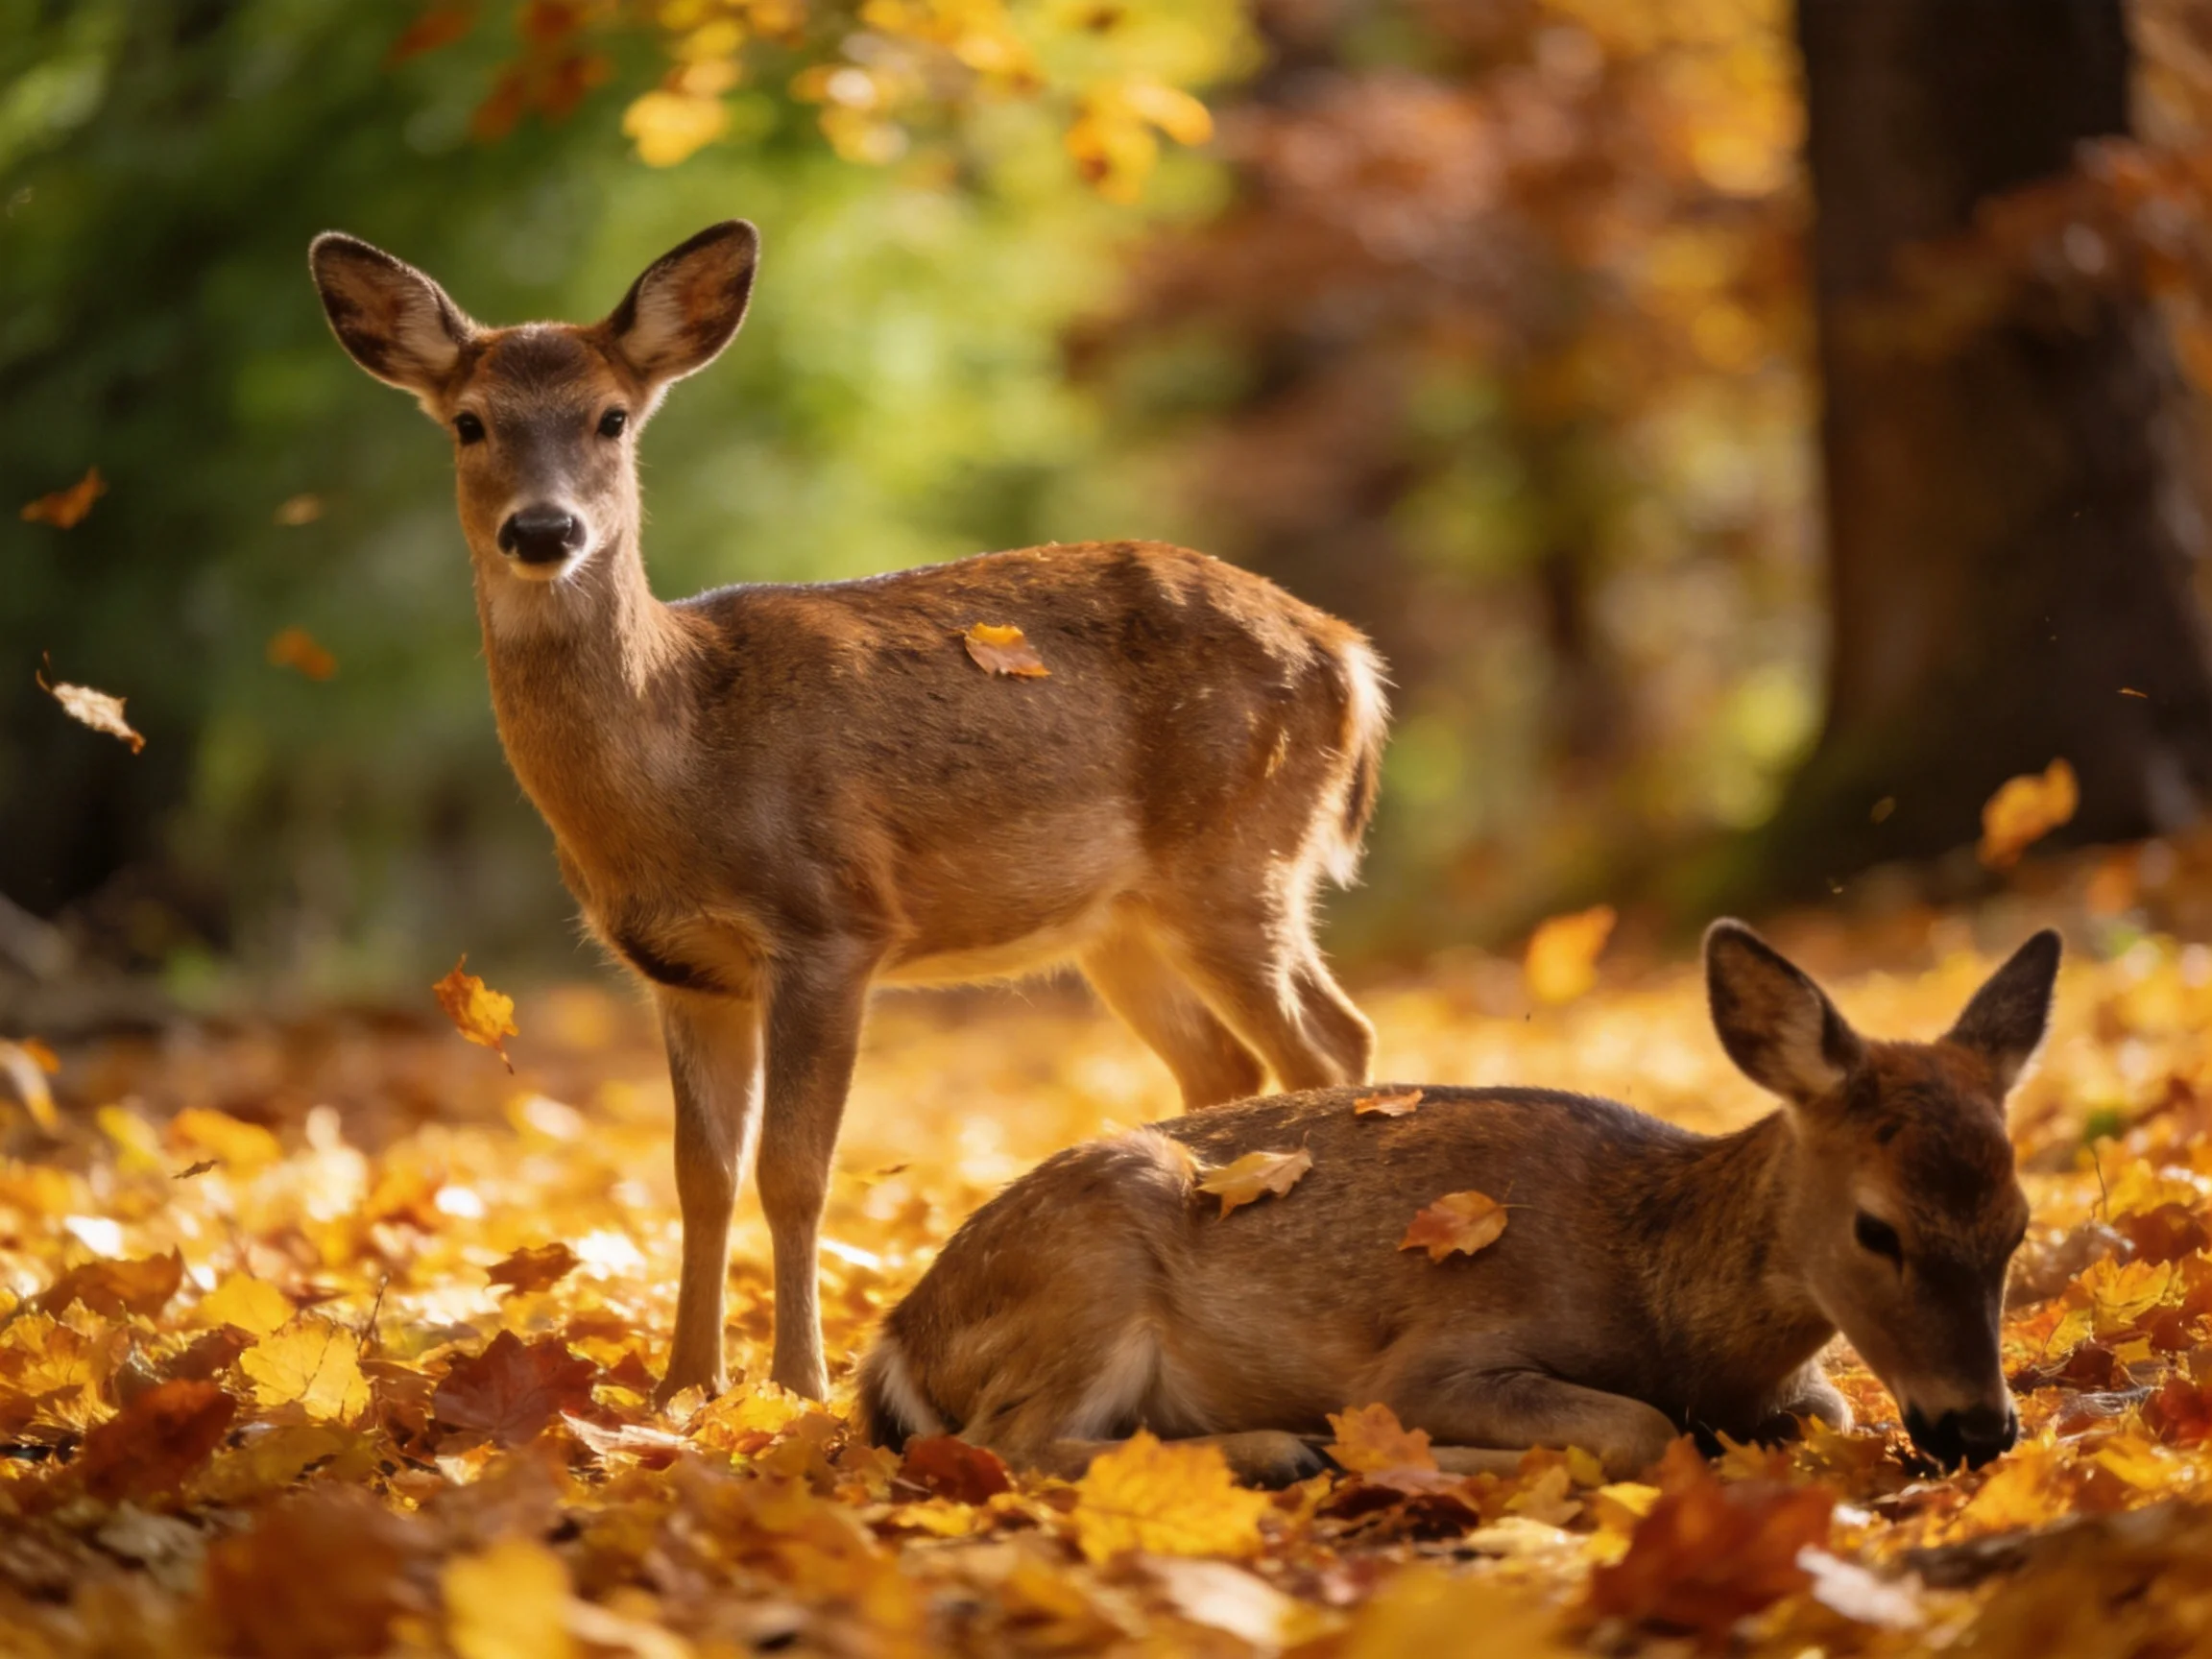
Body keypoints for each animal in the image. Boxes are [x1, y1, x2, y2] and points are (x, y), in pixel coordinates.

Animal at [306, 221, 1388, 1404]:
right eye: (470, 421)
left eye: (611, 417)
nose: (544, 530)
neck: (683, 759)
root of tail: (1350, 656)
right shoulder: (682, 972)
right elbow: (698, 1174)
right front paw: (682, 1388)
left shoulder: (830, 926)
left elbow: (794, 1170)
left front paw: (798, 1388)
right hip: (1122, 923)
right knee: (1225, 1064)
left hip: (1238, 858)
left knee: (1332, 1040)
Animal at [859, 920, 2058, 1482]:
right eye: (1876, 1228)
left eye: (2019, 1225)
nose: (1980, 1428)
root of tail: (900, 1335)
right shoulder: (1435, 1352)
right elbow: (1633, 1428)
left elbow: (1832, 1406)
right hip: (1091, 1261)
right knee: (1004, 1442)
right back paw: (1284, 1448)